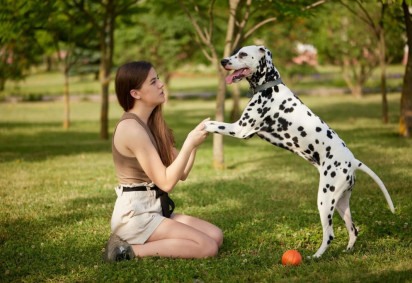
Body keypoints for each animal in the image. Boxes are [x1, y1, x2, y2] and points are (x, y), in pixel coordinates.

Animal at [204, 45, 394, 260]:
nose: (223, 61)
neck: (269, 86)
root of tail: (352, 161)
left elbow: (213, 124)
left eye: (242, 54)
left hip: (324, 200)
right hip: (341, 203)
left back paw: (315, 257)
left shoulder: (240, 129)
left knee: (329, 234)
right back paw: (347, 250)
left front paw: (200, 128)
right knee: (353, 230)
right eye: (235, 52)